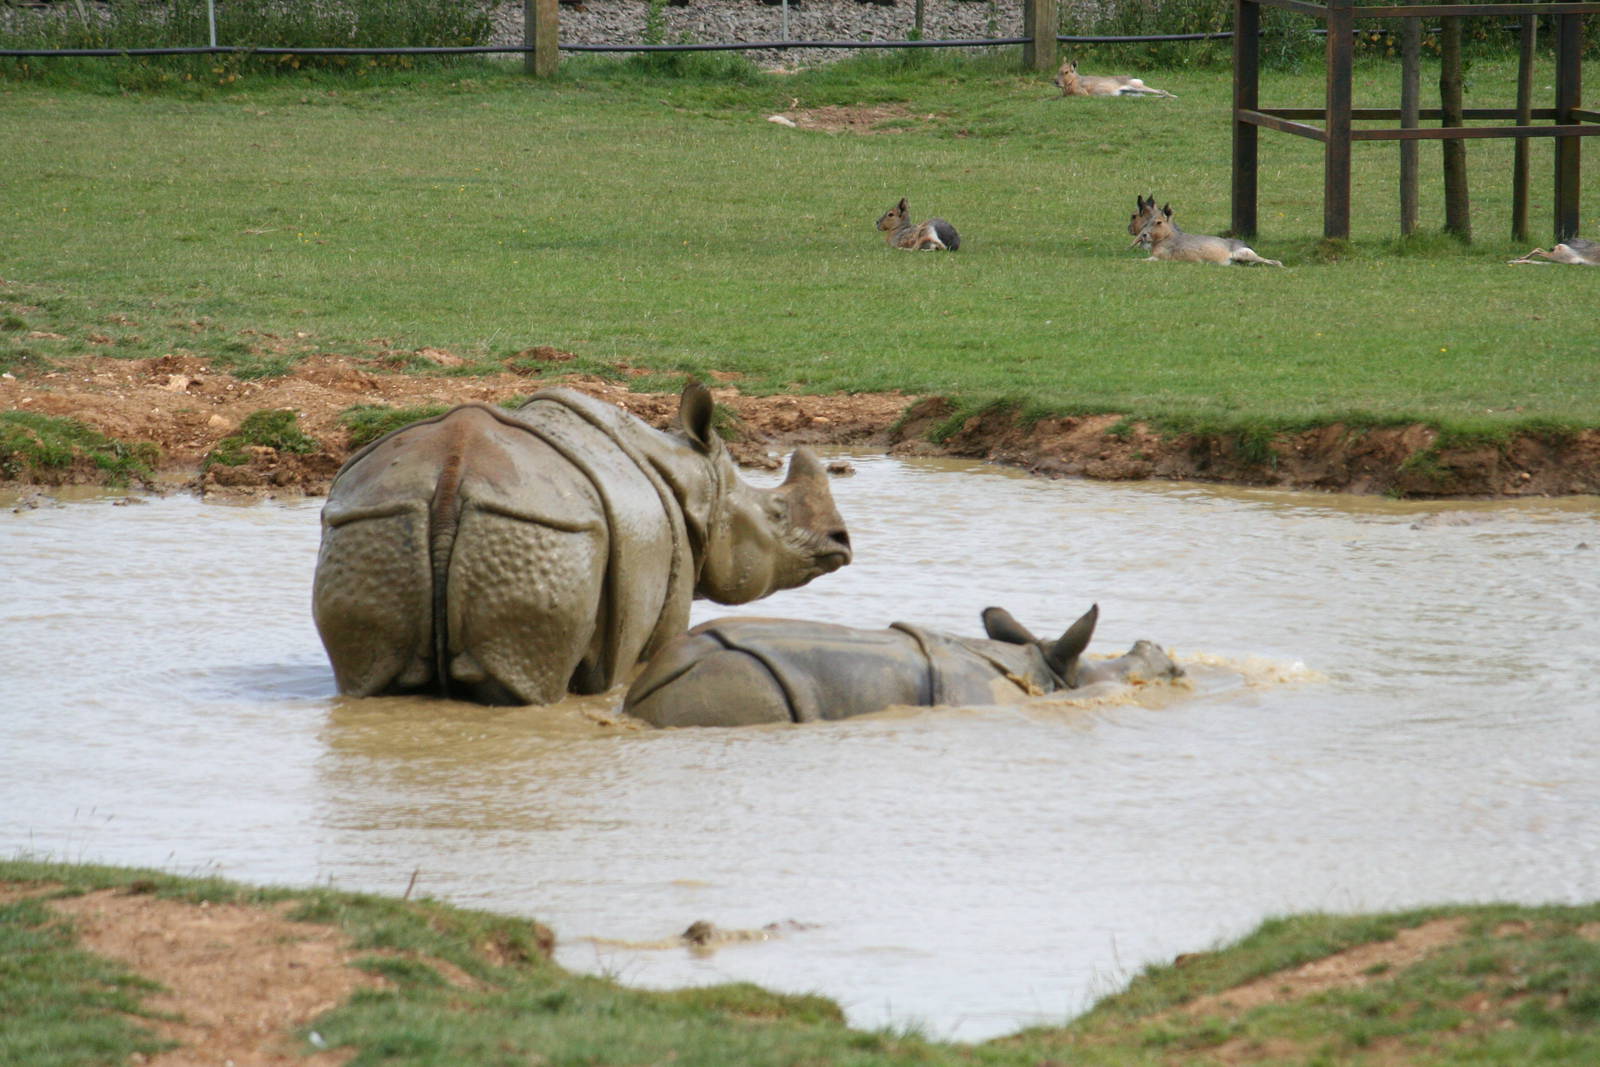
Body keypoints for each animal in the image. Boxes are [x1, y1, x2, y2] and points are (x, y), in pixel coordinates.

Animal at [311, 383, 852, 705]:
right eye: (775, 514)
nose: (841, 542)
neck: (699, 484)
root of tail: (450, 476)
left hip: (375, 523)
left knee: (367, 675)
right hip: (544, 531)